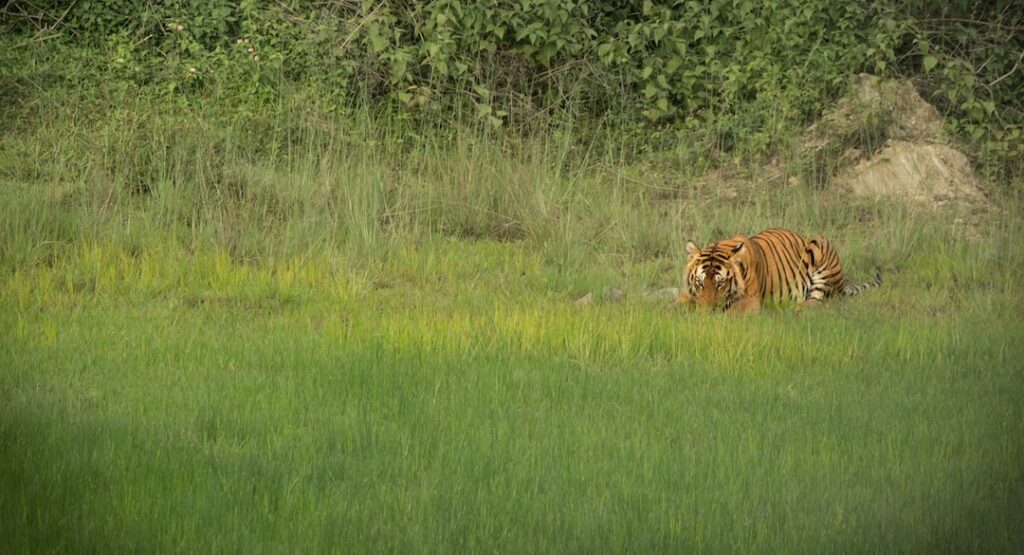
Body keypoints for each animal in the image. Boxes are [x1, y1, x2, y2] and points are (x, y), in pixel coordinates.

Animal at [679, 226, 880, 313]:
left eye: (720, 284)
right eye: (700, 283)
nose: (706, 311)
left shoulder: (750, 301)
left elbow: (730, 313)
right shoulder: (688, 295)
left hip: (820, 244)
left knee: (817, 302)